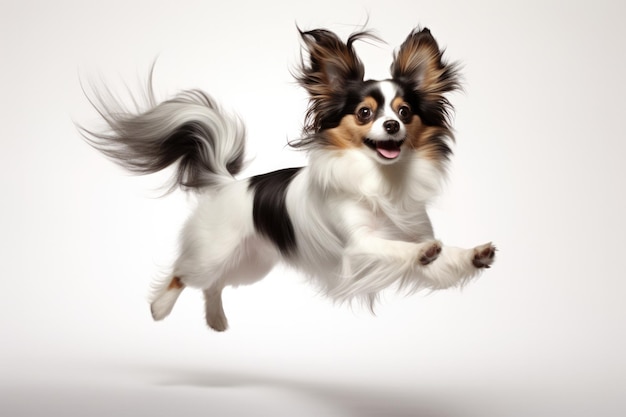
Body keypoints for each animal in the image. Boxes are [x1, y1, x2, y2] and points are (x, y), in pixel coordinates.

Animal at [81, 27, 492, 330]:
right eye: (364, 113)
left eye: (405, 113)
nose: (391, 126)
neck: (382, 178)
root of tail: (226, 185)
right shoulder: (357, 248)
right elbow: (395, 248)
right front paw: (422, 252)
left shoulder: (414, 232)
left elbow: (444, 255)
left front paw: (473, 255)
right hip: (213, 254)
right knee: (183, 274)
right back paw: (161, 307)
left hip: (251, 264)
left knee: (213, 286)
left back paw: (216, 320)